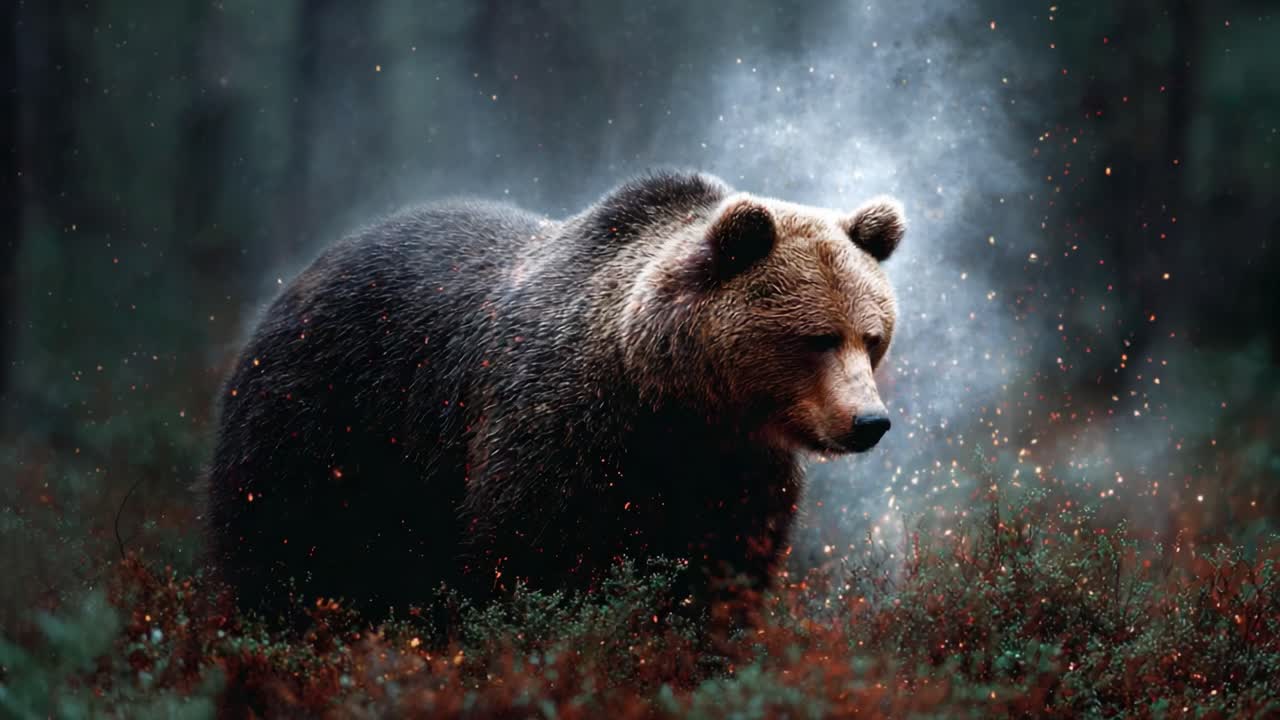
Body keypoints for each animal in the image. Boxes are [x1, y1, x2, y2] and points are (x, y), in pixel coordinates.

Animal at [206, 170, 905, 626]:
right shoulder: (559, 426)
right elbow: (528, 558)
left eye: (871, 337)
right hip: (326, 418)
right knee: (280, 548)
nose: (869, 421)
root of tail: (301, 276)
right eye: (817, 338)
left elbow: (723, 570)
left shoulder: (737, 471)